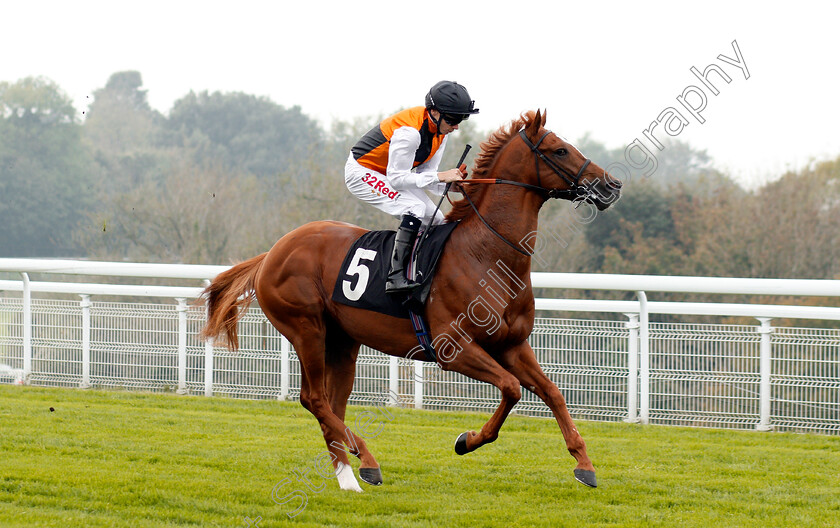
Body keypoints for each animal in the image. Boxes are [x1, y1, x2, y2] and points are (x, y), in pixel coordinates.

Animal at [203, 110, 620, 490]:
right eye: (560, 150)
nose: (611, 184)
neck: (486, 253)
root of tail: (271, 253)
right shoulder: (453, 348)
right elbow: (511, 388)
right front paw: (467, 440)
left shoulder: (512, 344)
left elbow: (552, 392)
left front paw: (584, 464)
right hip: (307, 329)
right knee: (314, 399)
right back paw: (364, 462)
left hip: (342, 339)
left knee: (331, 403)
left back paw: (349, 472)